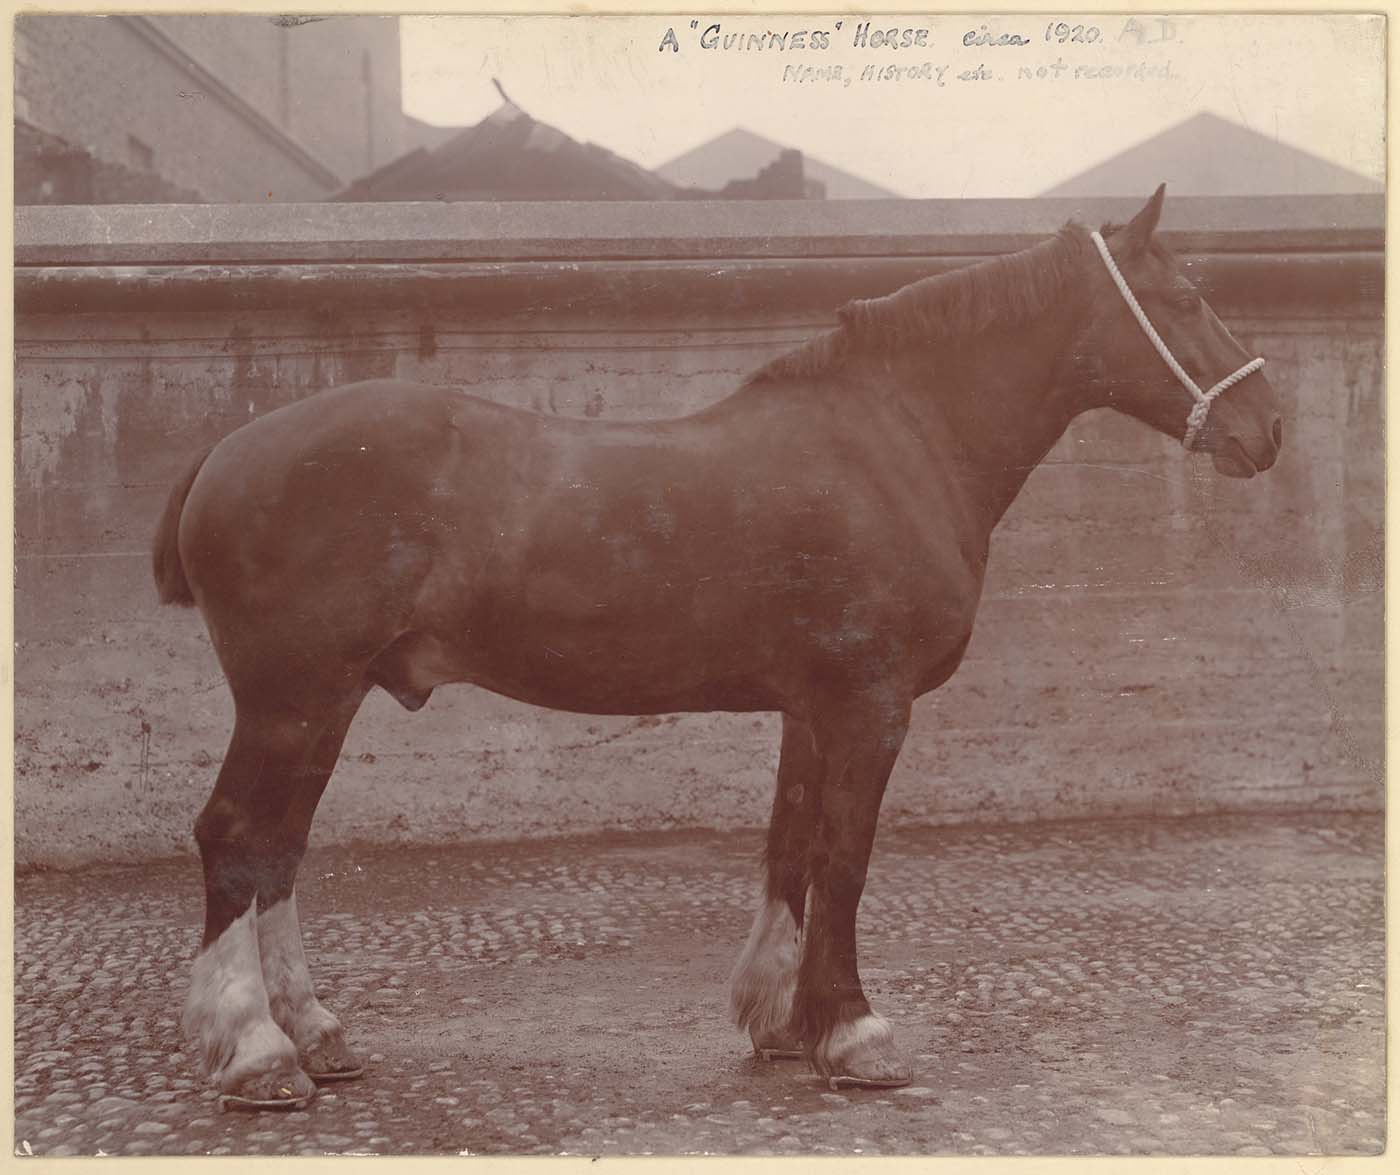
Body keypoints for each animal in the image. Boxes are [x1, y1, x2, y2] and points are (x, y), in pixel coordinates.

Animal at [150, 186, 1282, 1114]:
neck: (894, 440)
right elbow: (844, 858)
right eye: (1185, 296)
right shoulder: (870, 702)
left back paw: (313, 1032)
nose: (1265, 429)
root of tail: (226, 449)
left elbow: (790, 847)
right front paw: (855, 1033)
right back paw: (256, 1053)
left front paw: (781, 1019)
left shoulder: (812, 705)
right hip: (292, 697)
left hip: (327, 699)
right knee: (236, 837)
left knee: (279, 849)